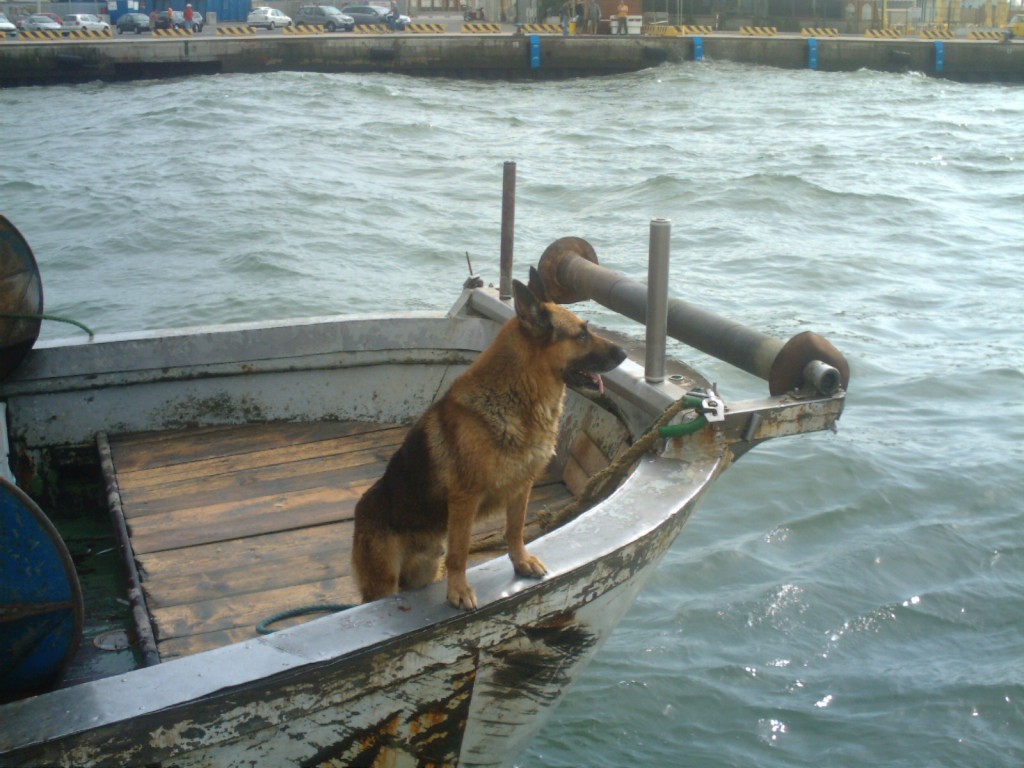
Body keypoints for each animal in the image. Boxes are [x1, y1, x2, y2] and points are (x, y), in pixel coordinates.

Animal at [352, 270, 626, 614]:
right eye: (582, 335)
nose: (625, 354)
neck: (520, 395)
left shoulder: (522, 486)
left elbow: (515, 529)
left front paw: (521, 562)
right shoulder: (465, 498)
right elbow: (459, 551)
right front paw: (458, 590)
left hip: (423, 572)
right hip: (385, 581)